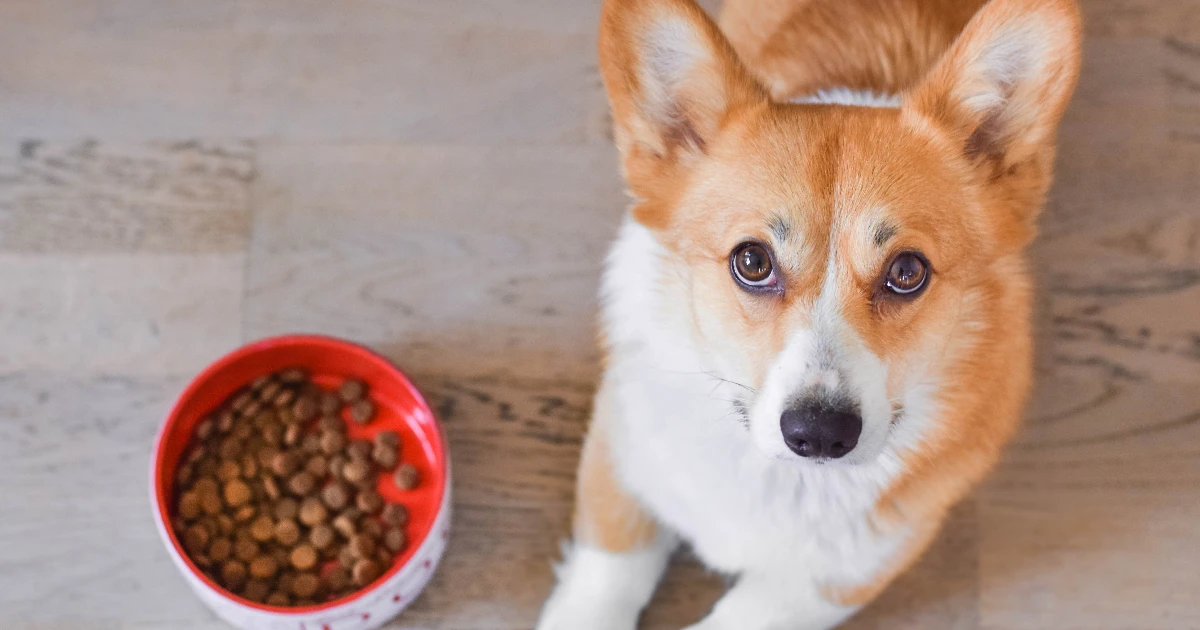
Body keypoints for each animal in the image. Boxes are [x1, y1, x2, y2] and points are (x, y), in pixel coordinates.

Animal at [540, 0, 1084, 624]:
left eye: (907, 272)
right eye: (752, 261)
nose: (820, 434)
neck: (780, 478)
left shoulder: (839, 577)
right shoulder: (620, 453)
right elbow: (605, 580)